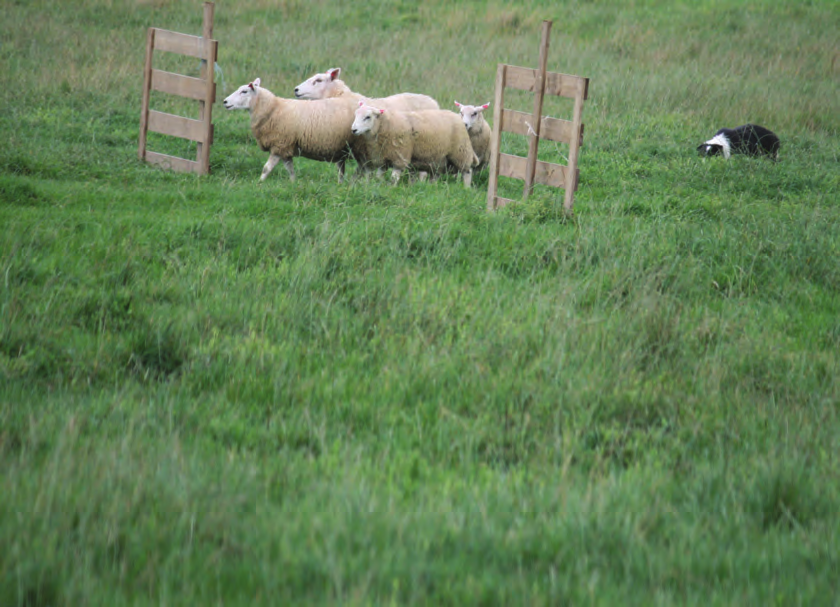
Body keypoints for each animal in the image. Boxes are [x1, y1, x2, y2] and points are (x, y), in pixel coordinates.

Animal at [221, 76, 360, 182]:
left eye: (244, 91)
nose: (224, 101)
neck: (273, 108)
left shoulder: (279, 144)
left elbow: (266, 168)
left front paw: (259, 183)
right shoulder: (286, 148)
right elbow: (290, 170)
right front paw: (293, 183)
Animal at [350, 102, 480, 188]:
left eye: (367, 117)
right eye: (355, 115)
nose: (353, 130)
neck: (385, 125)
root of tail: (458, 117)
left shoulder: (400, 155)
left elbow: (394, 177)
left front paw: (391, 188)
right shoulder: (383, 158)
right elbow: (379, 176)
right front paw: (380, 185)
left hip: (460, 151)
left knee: (467, 171)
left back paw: (466, 188)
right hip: (438, 157)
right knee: (436, 174)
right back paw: (432, 188)